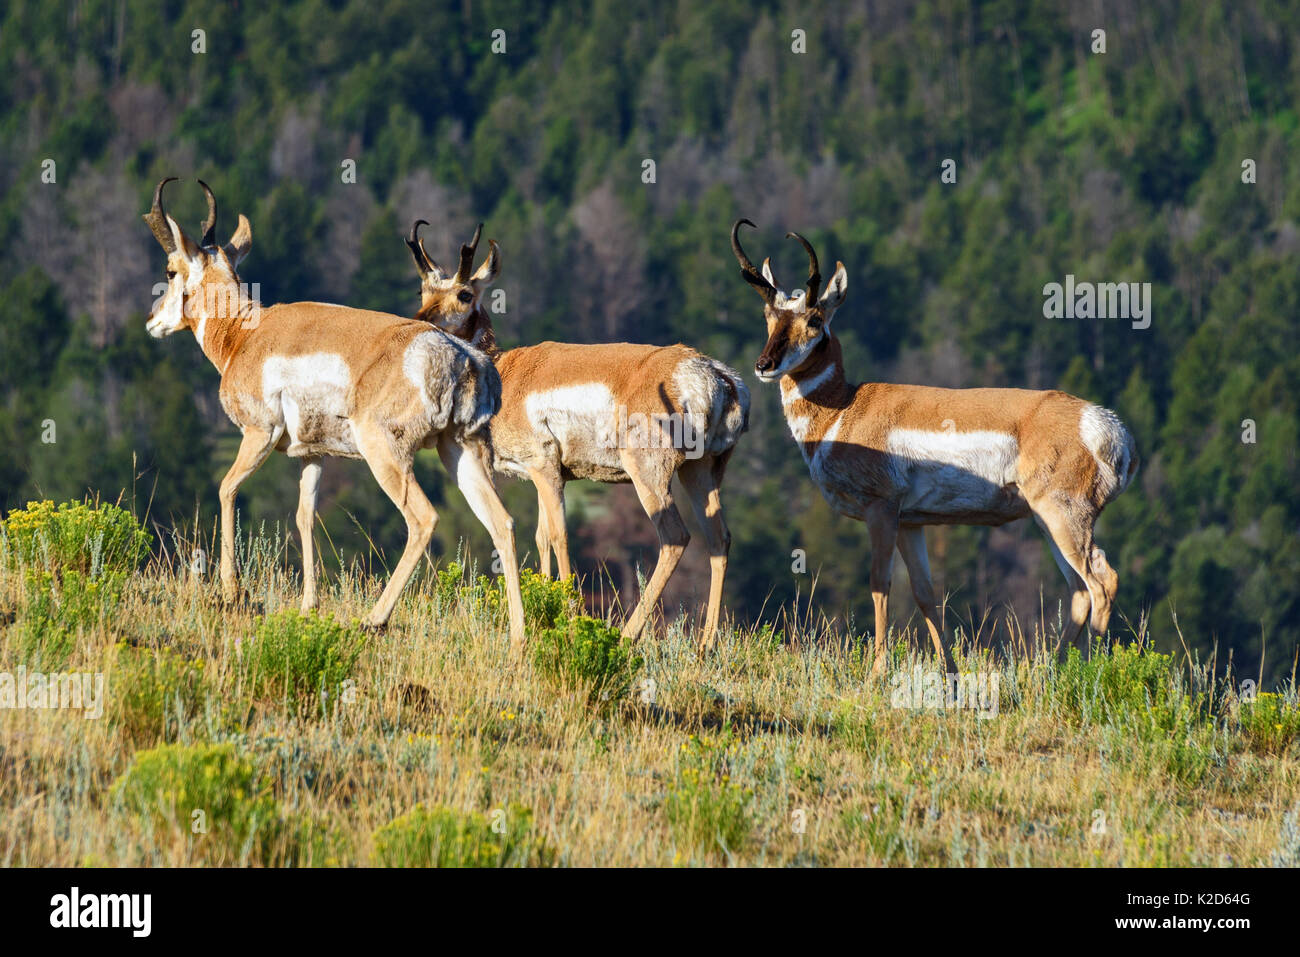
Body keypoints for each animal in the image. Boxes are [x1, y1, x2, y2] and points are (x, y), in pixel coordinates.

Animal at [141, 179, 525, 640]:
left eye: (170, 270)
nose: (150, 321)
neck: (246, 333)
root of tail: (462, 354)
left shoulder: (258, 434)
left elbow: (227, 488)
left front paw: (232, 591)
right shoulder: (313, 454)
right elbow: (305, 516)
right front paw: (309, 606)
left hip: (386, 454)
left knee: (423, 518)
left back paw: (374, 619)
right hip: (459, 451)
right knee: (502, 522)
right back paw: (519, 637)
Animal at [404, 220, 750, 646]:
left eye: (464, 293)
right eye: (423, 290)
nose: (420, 319)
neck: (506, 371)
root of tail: (715, 375)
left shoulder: (545, 469)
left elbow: (559, 535)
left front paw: (568, 618)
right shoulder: (542, 476)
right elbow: (541, 536)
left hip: (649, 474)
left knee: (675, 537)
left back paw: (627, 635)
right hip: (701, 471)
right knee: (719, 538)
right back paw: (705, 645)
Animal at [730, 220, 1138, 674]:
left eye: (815, 319)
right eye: (768, 314)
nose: (764, 365)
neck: (844, 409)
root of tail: (1108, 427)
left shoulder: (882, 509)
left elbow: (880, 583)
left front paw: (878, 670)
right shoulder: (912, 522)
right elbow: (925, 594)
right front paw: (950, 672)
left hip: (1064, 516)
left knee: (1102, 581)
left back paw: (1091, 672)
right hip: (1045, 520)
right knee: (1079, 591)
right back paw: (1053, 671)